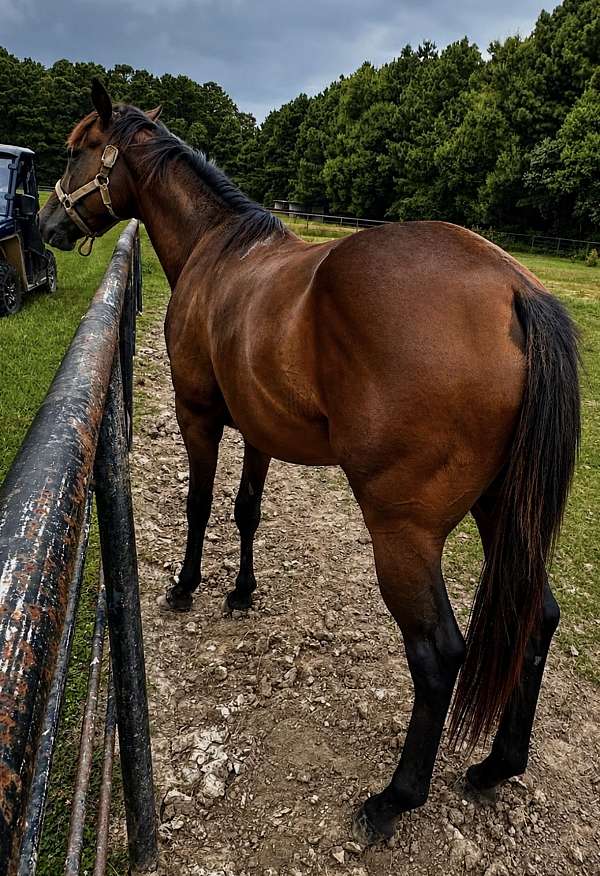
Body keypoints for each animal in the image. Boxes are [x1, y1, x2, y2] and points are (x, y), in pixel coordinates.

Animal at [39, 79, 581, 846]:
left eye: (77, 149)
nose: (46, 222)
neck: (219, 253)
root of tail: (514, 290)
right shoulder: (259, 431)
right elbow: (247, 511)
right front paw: (240, 593)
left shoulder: (197, 415)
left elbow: (200, 505)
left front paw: (185, 587)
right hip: (505, 511)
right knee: (536, 621)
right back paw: (495, 767)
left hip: (404, 534)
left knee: (438, 655)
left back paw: (394, 799)